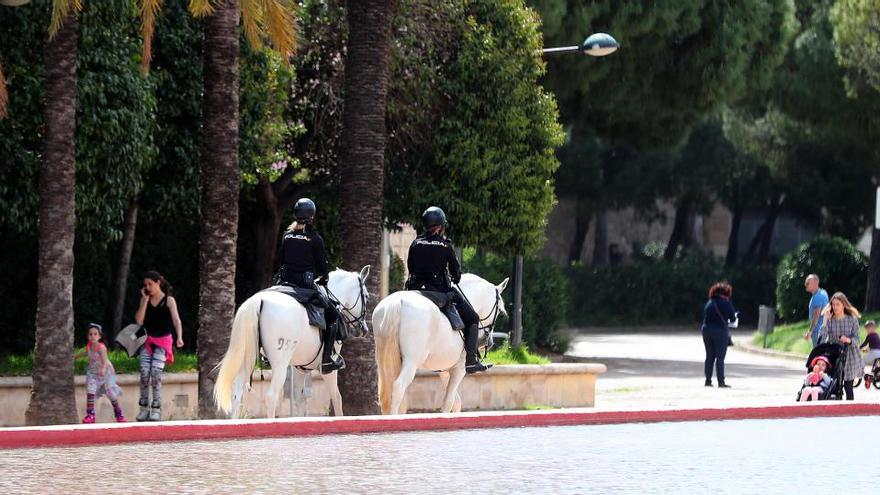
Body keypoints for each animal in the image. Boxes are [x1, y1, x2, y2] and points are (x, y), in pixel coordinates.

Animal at [215, 268, 370, 418]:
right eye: (367, 296)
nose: (364, 329)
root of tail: (258, 301)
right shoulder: (329, 371)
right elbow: (337, 398)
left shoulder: (300, 368)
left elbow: (299, 401)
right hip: (280, 364)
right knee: (271, 397)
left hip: (247, 358)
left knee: (237, 395)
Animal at [372, 274, 508, 416]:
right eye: (499, 311)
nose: (488, 342)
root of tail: (398, 302)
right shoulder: (459, 370)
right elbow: (448, 402)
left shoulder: (444, 371)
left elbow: (456, 402)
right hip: (411, 362)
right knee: (398, 386)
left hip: (383, 361)